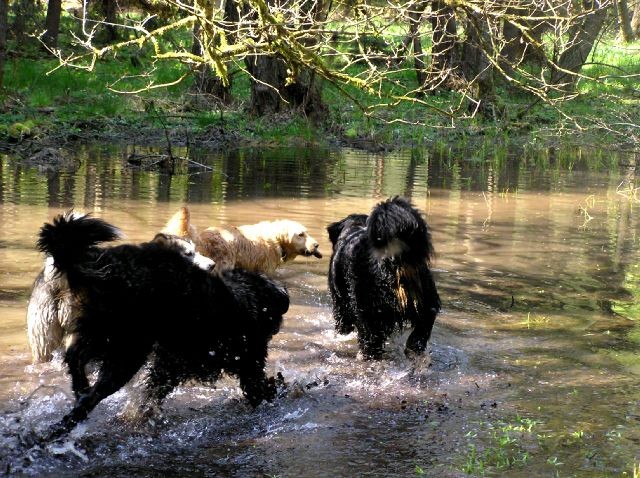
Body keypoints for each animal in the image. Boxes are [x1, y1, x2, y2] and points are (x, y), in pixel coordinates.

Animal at [38, 213, 290, 440]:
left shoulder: (169, 364)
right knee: (92, 393)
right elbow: (259, 388)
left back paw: (79, 389)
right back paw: (62, 427)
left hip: (101, 332)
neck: (249, 296)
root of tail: (110, 270)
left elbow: (154, 391)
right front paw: (280, 388)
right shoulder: (248, 360)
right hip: (127, 349)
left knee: (74, 357)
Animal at [328, 197, 442, 358]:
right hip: (426, 301)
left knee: (371, 342)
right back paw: (414, 349)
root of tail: (394, 258)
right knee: (423, 329)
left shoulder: (340, 307)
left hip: (369, 312)